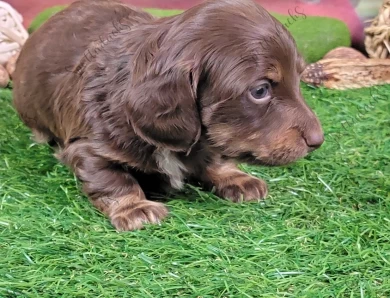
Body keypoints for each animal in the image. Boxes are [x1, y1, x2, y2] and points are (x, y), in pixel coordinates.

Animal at [12, 0, 324, 230]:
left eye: (299, 77)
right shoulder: (87, 147)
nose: (318, 141)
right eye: (260, 90)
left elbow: (216, 157)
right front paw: (135, 208)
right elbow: (112, 179)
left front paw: (236, 178)